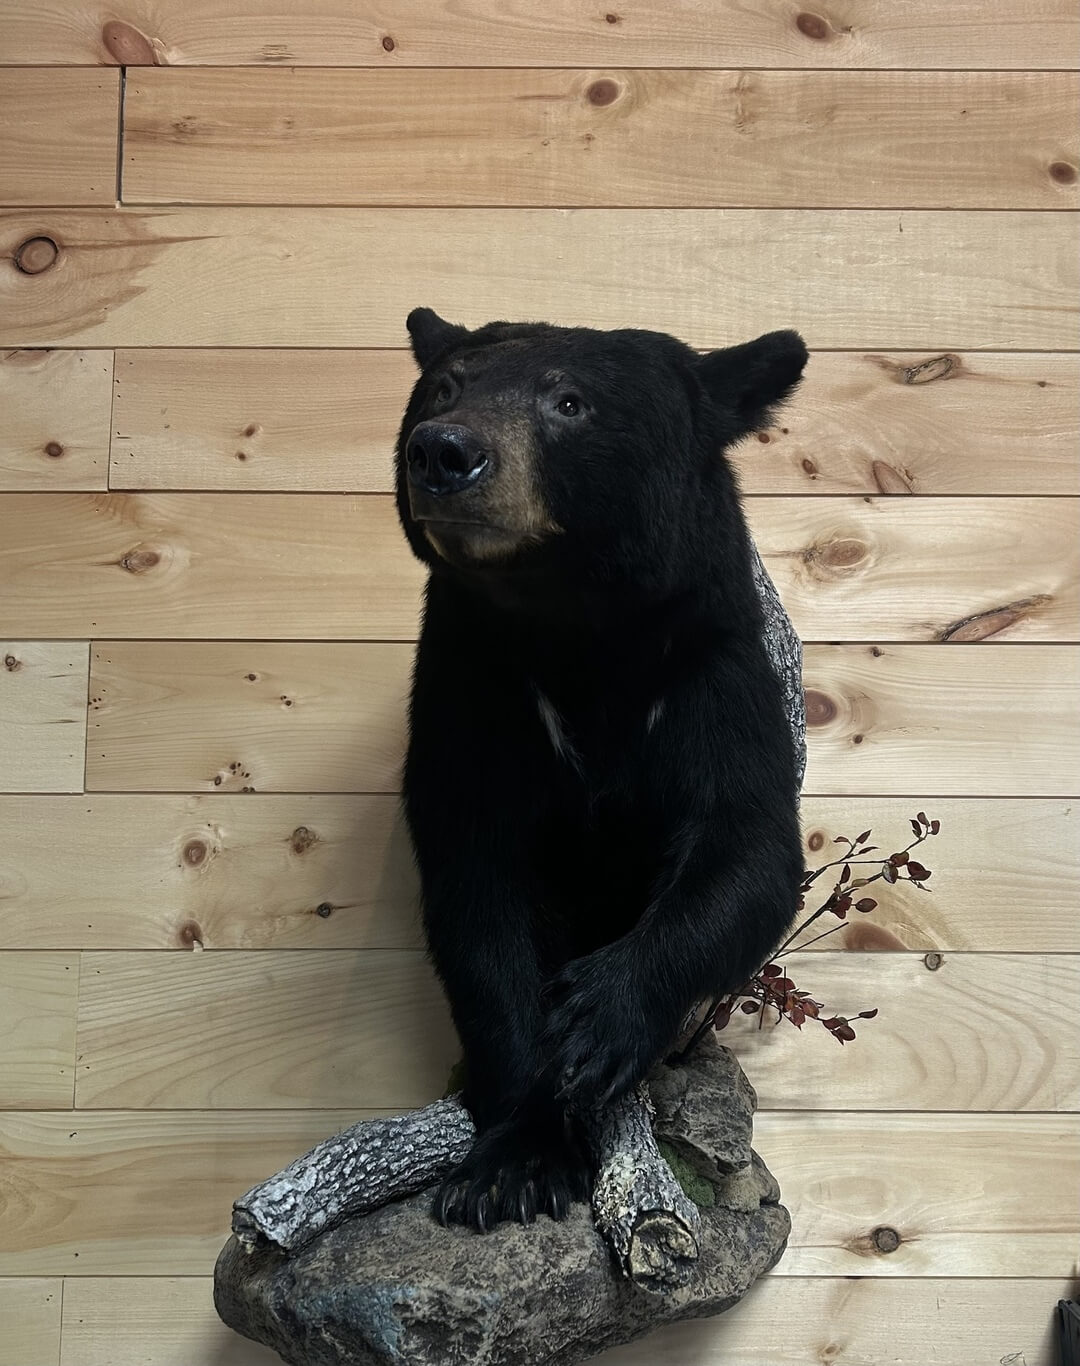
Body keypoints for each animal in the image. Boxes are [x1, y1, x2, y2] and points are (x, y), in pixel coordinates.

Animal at [395, 309, 806, 1232]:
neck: (576, 631)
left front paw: (595, 1022)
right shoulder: (473, 686)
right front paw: (511, 1163)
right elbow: (479, 891)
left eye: (570, 402)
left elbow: (747, 845)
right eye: (444, 387)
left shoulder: (710, 668)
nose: (443, 451)